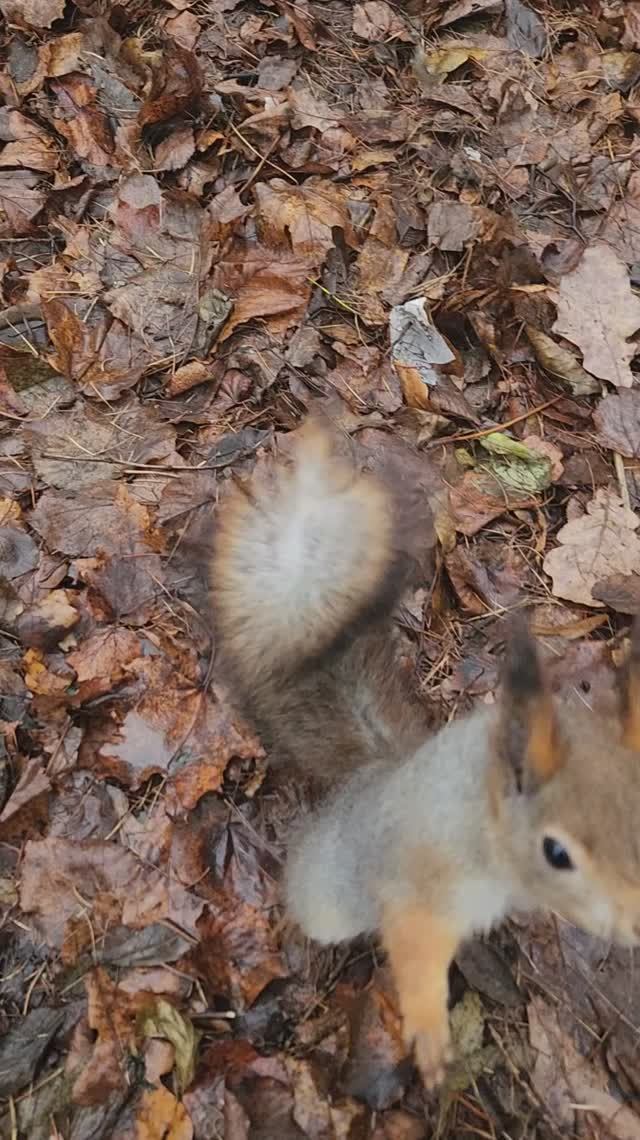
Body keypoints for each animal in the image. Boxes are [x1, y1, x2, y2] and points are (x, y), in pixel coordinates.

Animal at [212, 417, 638, 1085]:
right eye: (557, 853)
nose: (633, 924)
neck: (484, 825)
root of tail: (370, 773)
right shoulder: (420, 881)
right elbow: (414, 950)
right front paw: (431, 1034)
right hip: (332, 892)